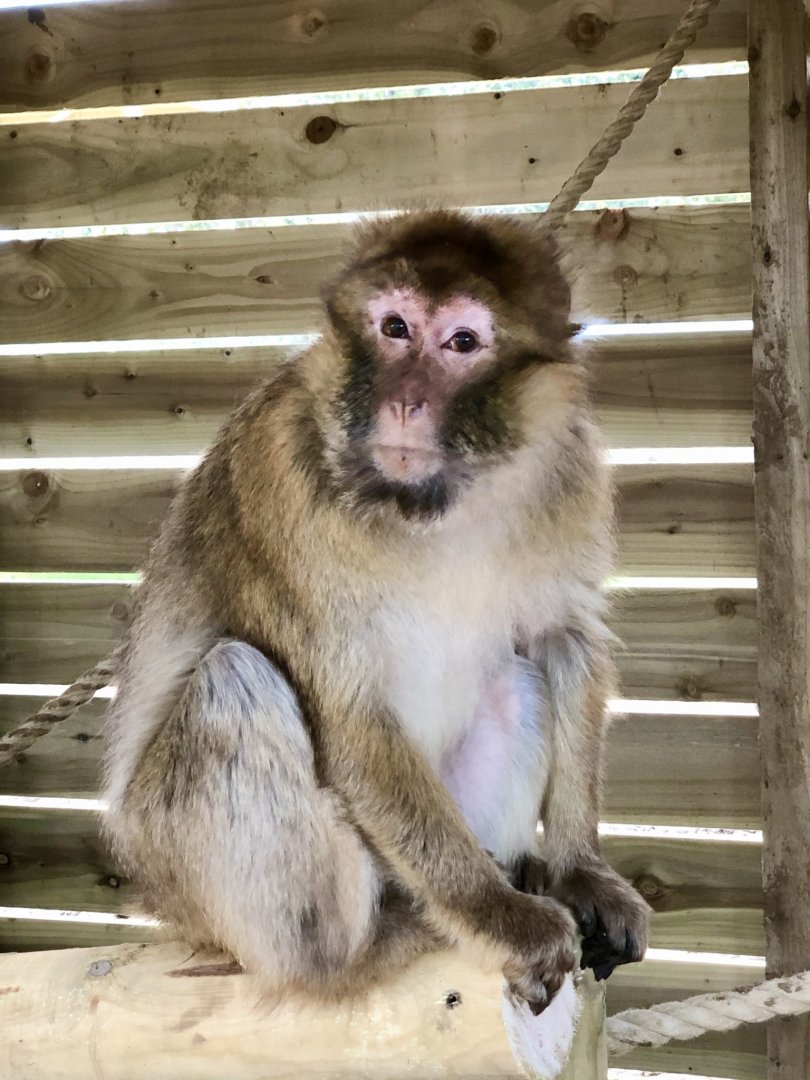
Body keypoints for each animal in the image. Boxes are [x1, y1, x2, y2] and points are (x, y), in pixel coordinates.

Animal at [102, 208, 650, 1014]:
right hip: (189, 876)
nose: (405, 400)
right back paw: (367, 944)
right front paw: (501, 918)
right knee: (232, 680)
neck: (432, 505)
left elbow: (563, 639)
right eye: (395, 327)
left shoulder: (571, 467)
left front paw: (581, 871)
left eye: (461, 342)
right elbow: (350, 712)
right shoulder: (281, 473)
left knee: (516, 682)